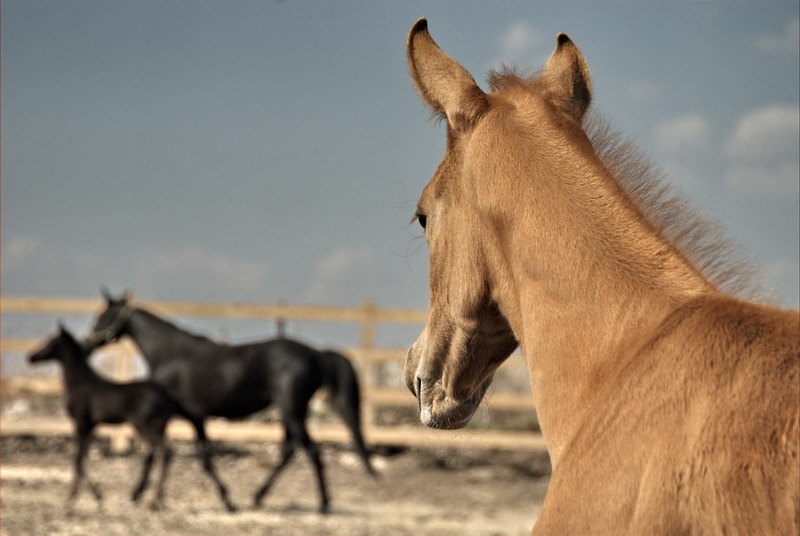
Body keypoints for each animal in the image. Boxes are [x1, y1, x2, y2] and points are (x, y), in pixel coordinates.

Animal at [27, 326, 190, 510]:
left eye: (51, 342)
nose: (31, 357)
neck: (80, 382)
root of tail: (168, 397)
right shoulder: (91, 425)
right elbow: (82, 456)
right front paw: (97, 495)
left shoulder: (81, 422)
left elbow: (77, 457)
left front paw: (73, 497)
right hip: (159, 426)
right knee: (159, 453)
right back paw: (151, 497)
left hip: (146, 425)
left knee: (165, 451)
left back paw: (154, 501)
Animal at [87, 292, 376, 512]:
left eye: (104, 316)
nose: (88, 343)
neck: (169, 354)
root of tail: (316, 354)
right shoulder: (179, 418)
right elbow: (160, 454)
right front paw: (136, 493)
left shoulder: (189, 416)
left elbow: (201, 459)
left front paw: (227, 501)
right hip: (291, 413)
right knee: (290, 450)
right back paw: (259, 497)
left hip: (293, 411)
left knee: (311, 451)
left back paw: (323, 505)